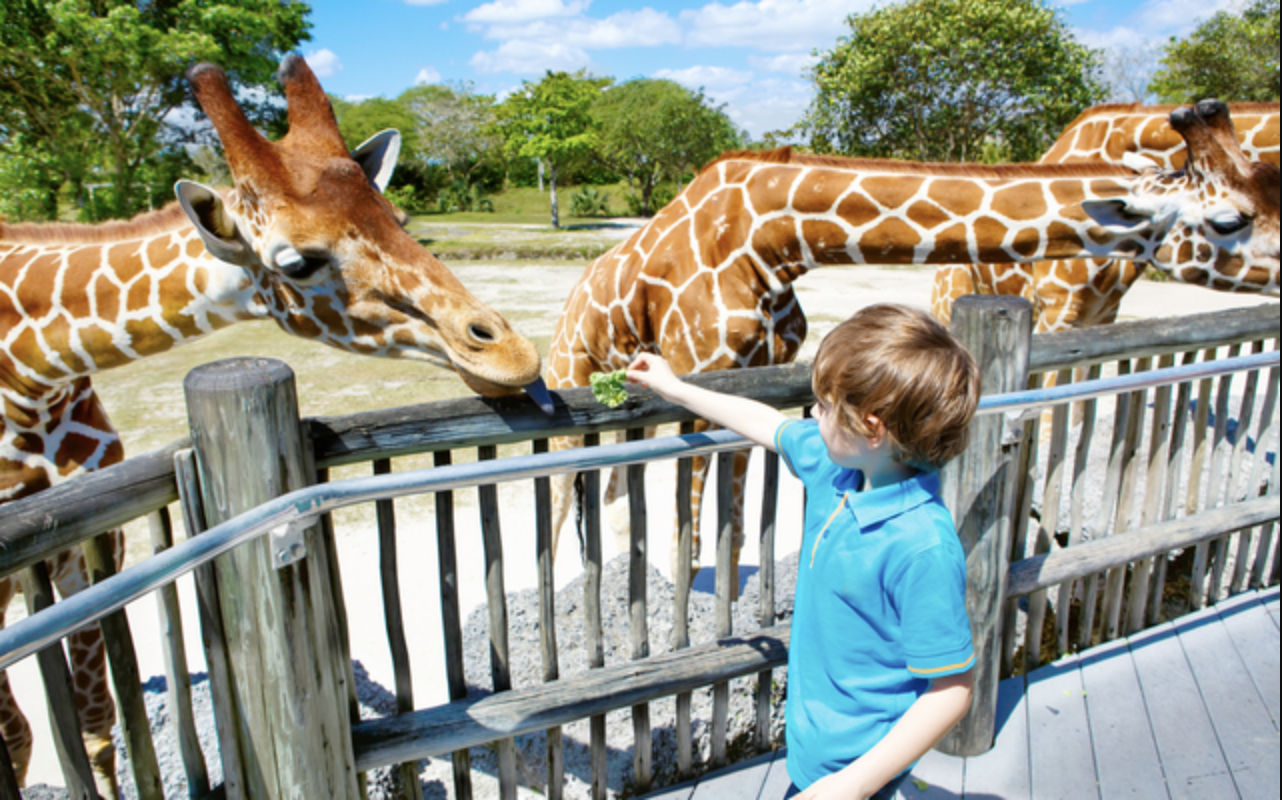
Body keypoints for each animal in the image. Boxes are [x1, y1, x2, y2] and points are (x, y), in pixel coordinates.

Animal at [0, 54, 546, 794]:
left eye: (399, 216)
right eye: (297, 262)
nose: (513, 355)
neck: (33, 371)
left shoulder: (88, 545)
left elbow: (93, 727)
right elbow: (26, 735)